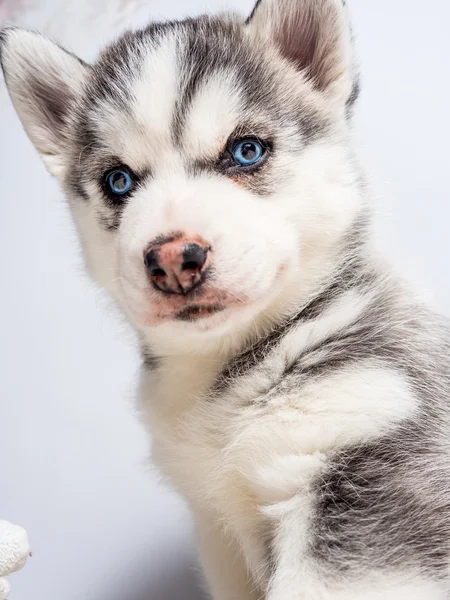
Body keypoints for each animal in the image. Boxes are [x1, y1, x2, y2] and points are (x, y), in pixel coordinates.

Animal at [1, 0, 448, 596]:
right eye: (119, 181)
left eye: (246, 150)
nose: (173, 260)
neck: (225, 384)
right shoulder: (217, 530)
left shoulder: (371, 482)